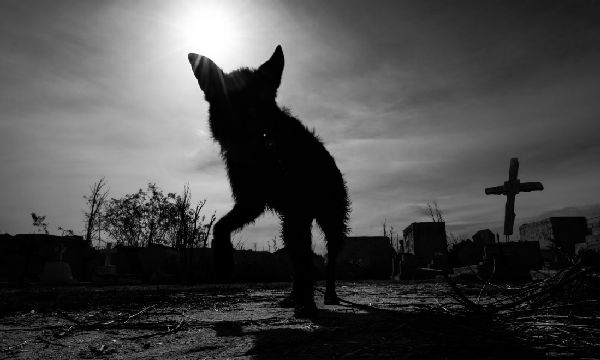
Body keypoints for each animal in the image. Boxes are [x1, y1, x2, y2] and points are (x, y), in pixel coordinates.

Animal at [186, 45, 346, 318]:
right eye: (229, 100)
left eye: (258, 101)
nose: (245, 126)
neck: (261, 151)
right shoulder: (251, 201)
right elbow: (220, 226)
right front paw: (223, 262)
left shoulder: (290, 206)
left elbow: (307, 261)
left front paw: (308, 302)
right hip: (291, 224)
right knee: (297, 257)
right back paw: (294, 296)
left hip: (330, 220)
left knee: (328, 259)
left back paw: (328, 294)